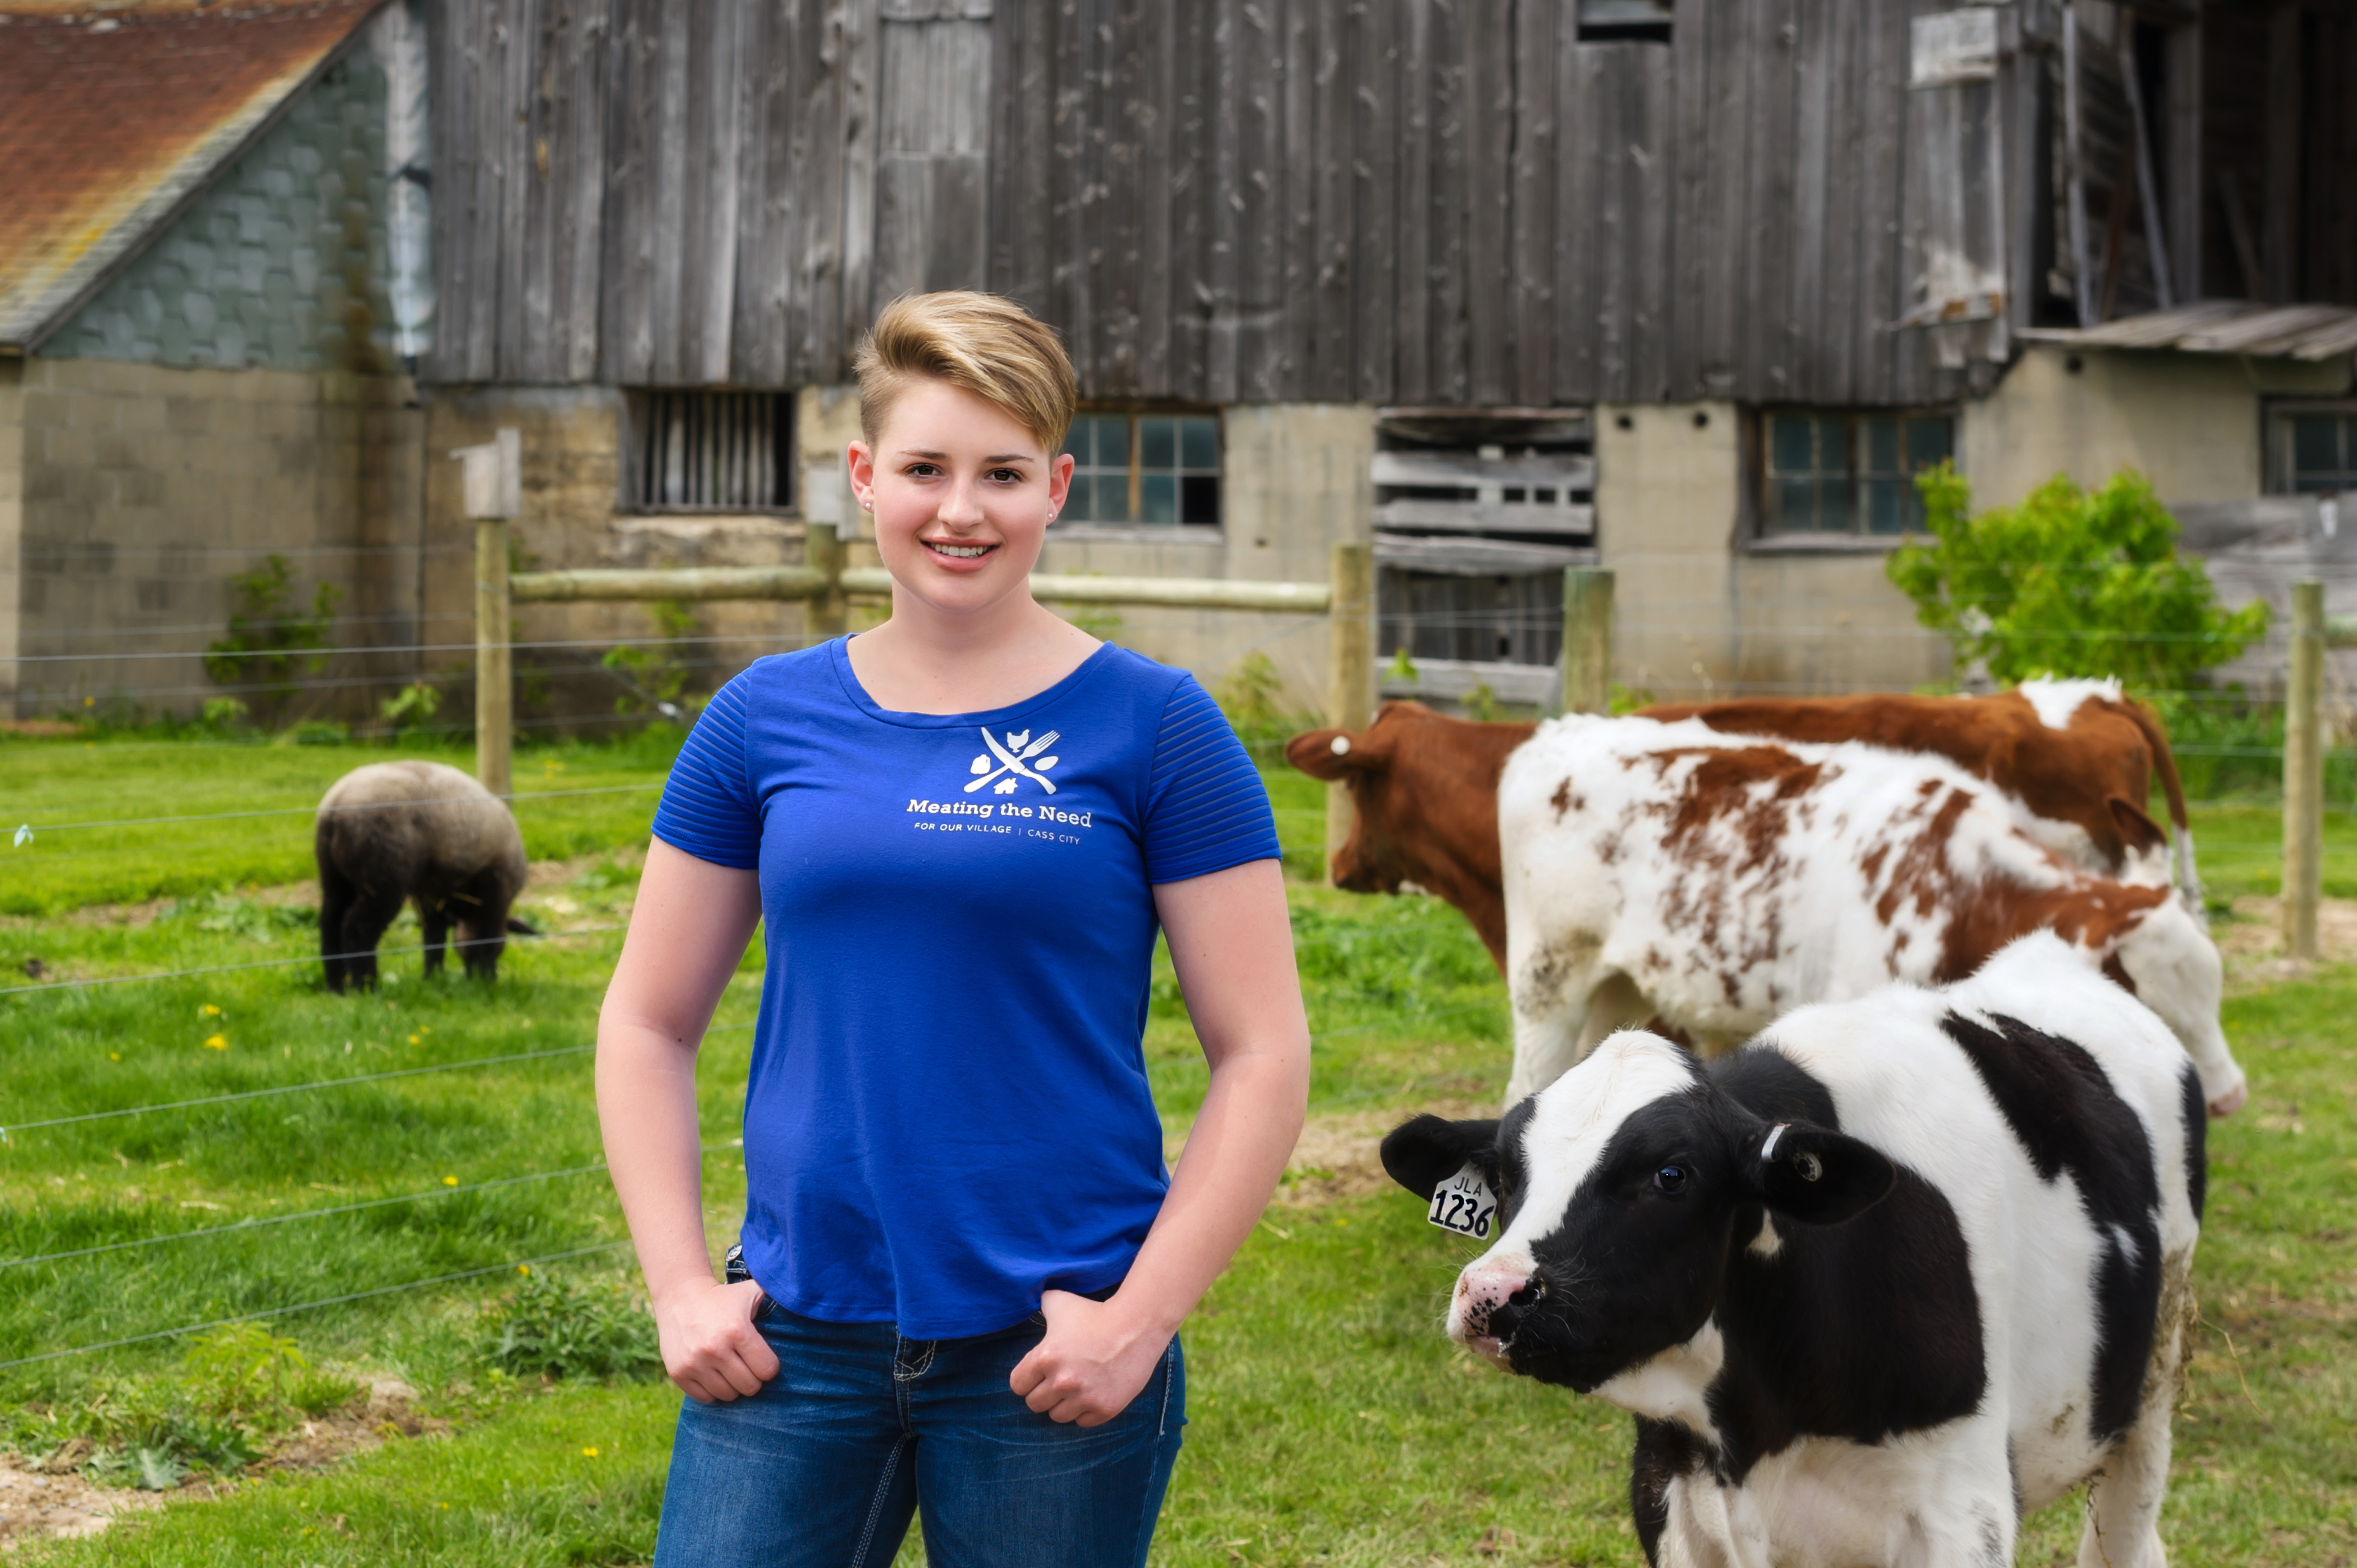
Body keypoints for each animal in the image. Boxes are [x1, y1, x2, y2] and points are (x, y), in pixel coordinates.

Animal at [313, 759, 530, 990]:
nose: (471, 978)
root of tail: (335, 806)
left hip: (335, 878)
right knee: (357, 929)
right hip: (384, 877)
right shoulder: (496, 890)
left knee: (330, 924)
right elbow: (488, 939)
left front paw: (433, 978)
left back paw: (336, 987)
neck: (466, 911)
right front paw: (488, 981)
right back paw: (367, 986)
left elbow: (434, 939)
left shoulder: (431, 896)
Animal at [1376, 933, 2206, 1556]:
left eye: (1672, 1174)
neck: (1764, 1420)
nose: (1492, 1292)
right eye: (1506, 1173)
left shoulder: (1964, 1506)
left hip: (2153, 1383)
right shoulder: (1666, 1492)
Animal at [1489, 707, 2244, 1113]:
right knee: (1527, 1081)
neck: (1956, 891)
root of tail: (1560, 733)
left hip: (1616, 986)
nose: (2229, 1095)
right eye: (2146, 1005)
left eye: (2213, 992)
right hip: (1547, 979)